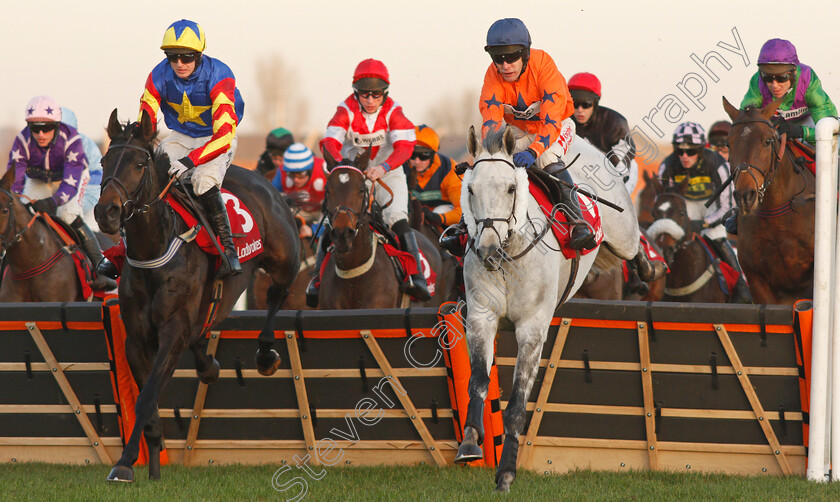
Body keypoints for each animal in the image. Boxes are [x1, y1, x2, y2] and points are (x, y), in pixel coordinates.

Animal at [97, 111, 300, 482]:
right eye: (104, 162)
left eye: (138, 164)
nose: (106, 213)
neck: (155, 249)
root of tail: (263, 181)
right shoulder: (137, 338)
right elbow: (147, 399)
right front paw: (149, 463)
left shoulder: (172, 331)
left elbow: (147, 396)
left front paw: (126, 462)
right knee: (203, 336)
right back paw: (209, 366)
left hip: (284, 262)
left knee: (275, 299)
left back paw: (265, 355)